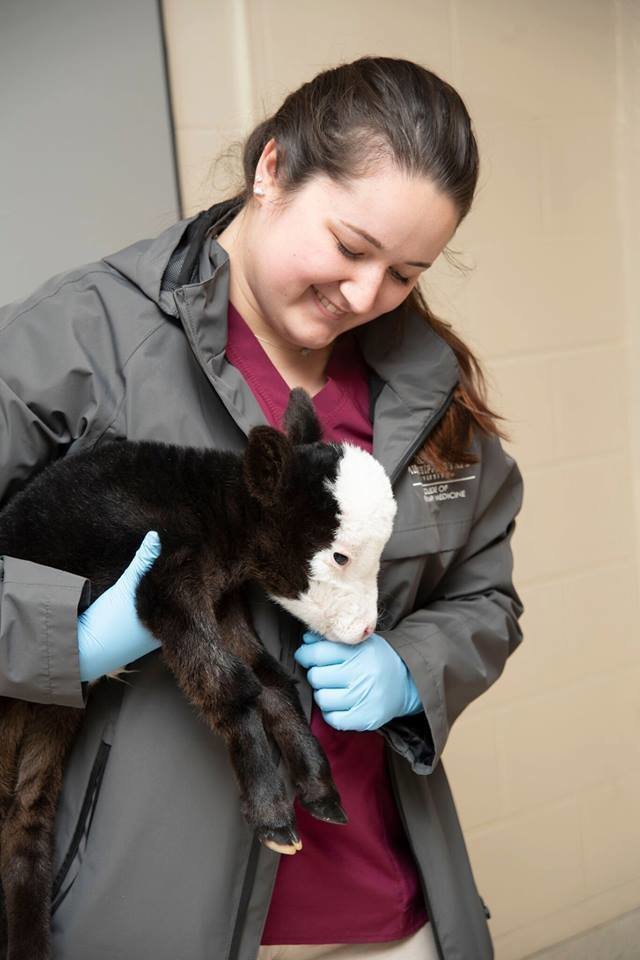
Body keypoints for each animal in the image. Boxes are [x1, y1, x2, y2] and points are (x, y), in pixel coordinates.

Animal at [0, 386, 396, 960]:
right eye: (339, 555)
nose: (366, 629)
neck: (217, 516)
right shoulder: (161, 585)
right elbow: (232, 685)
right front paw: (272, 814)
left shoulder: (221, 600)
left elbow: (271, 682)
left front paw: (320, 789)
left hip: (47, 720)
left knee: (25, 821)